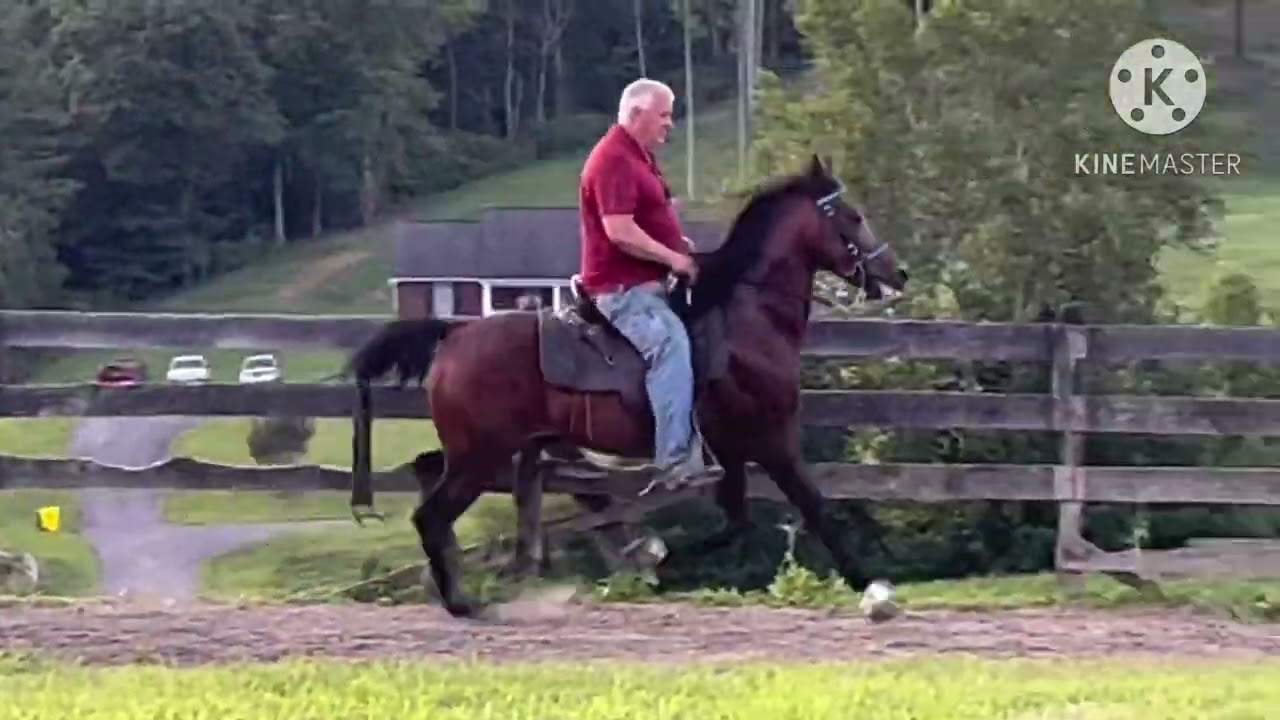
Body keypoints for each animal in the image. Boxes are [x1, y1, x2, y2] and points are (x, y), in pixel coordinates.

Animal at [346, 154, 909, 617]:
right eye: (851, 215)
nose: (897, 272)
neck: (747, 316)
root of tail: (455, 333)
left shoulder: (732, 451)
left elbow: (737, 522)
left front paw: (649, 558)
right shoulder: (771, 440)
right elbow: (814, 507)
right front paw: (868, 583)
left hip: (494, 450)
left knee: (434, 478)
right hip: (480, 455)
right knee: (431, 515)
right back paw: (460, 601)